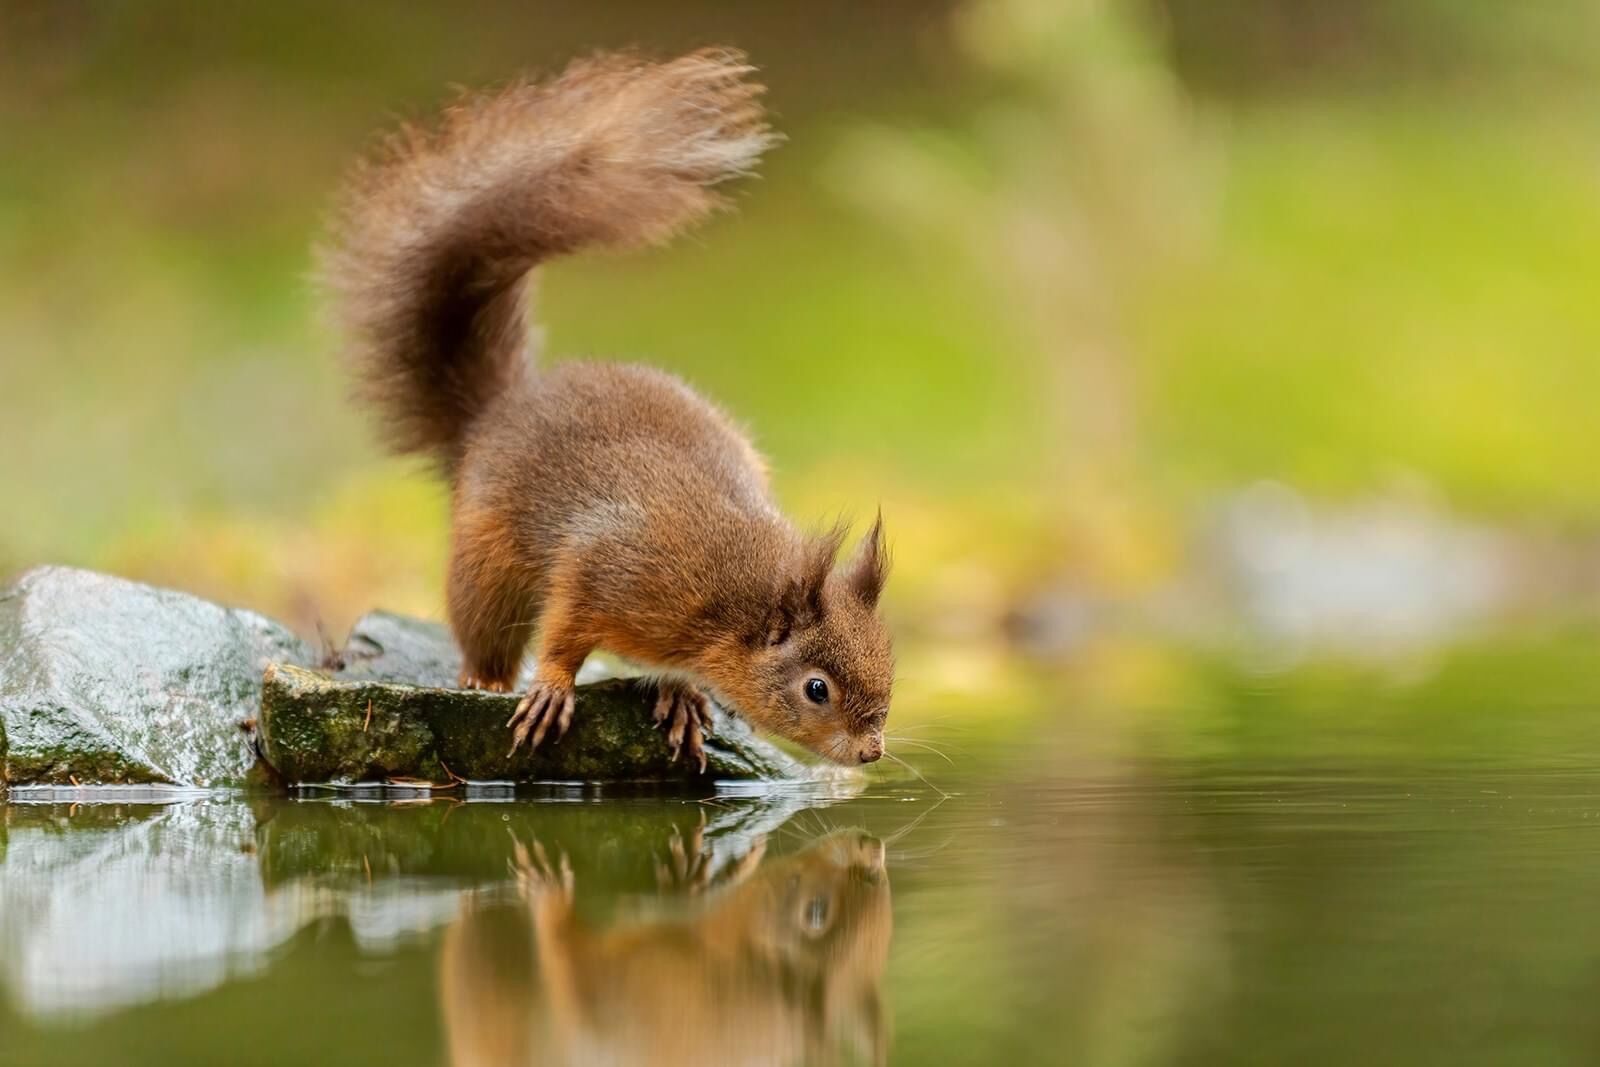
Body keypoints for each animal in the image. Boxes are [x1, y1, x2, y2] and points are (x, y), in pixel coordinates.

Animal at [320, 48, 894, 771]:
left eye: (890, 663)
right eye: (818, 688)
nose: (872, 751)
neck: (731, 596)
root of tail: (494, 413)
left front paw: (682, 695)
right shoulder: (609, 566)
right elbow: (566, 628)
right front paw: (553, 686)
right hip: (487, 559)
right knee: (485, 623)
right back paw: (485, 679)